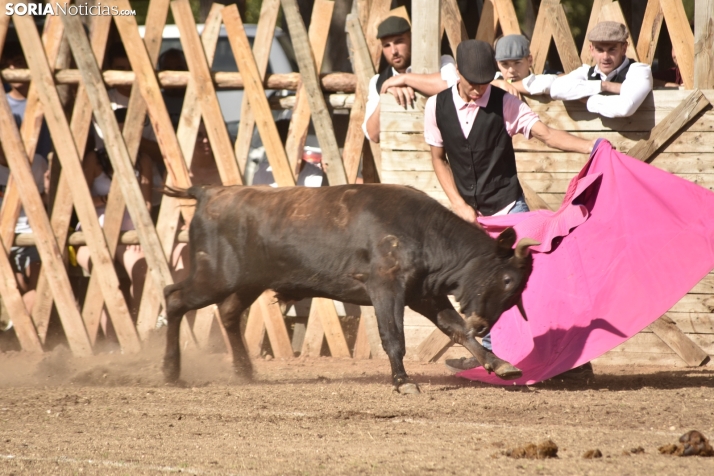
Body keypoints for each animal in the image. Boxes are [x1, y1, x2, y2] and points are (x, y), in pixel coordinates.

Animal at [161, 184, 536, 392]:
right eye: (506, 280)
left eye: (517, 292)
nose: (484, 325)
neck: (424, 231)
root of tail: (210, 191)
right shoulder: (386, 287)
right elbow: (393, 336)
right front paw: (403, 382)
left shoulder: (424, 294)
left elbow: (456, 329)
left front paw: (501, 364)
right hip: (215, 276)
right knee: (174, 298)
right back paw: (170, 371)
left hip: (247, 282)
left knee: (227, 312)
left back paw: (245, 371)